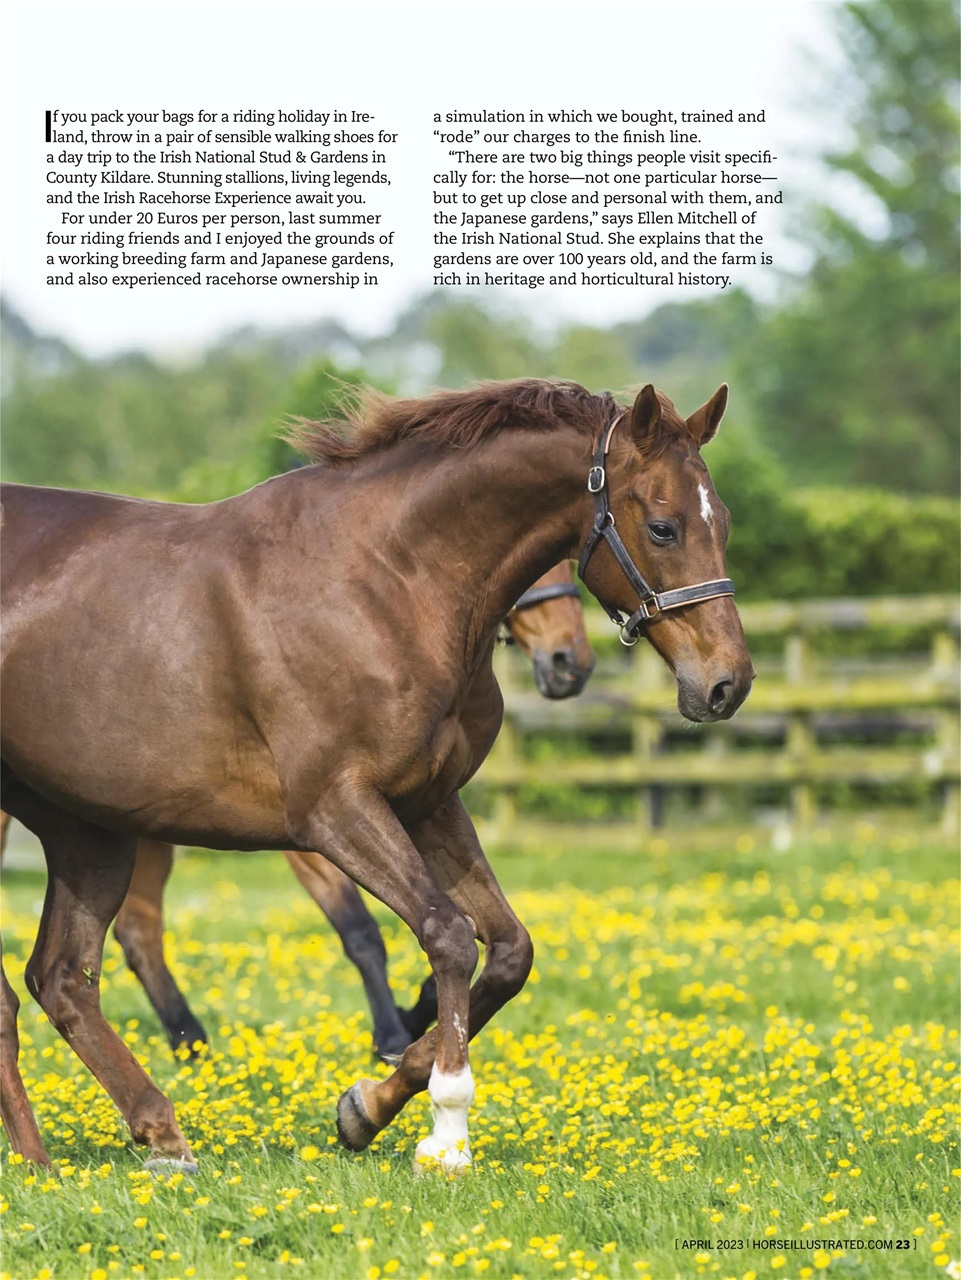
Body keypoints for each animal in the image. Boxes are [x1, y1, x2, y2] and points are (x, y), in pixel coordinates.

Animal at [0, 562, 594, 1074]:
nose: (570, 663)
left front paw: (414, 1013)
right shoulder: (320, 830)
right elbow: (360, 930)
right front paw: (391, 1035)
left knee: (139, 929)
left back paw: (190, 1042)